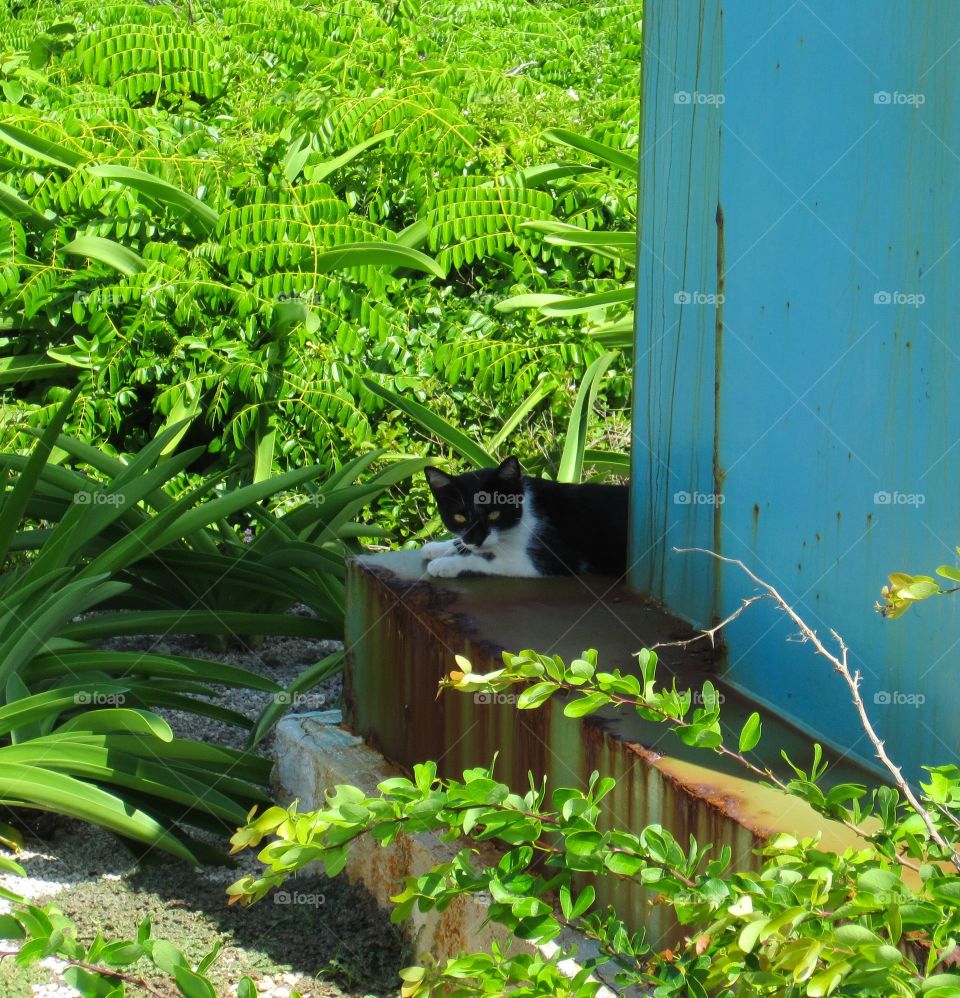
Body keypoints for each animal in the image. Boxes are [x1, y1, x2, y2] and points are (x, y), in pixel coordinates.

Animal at [424, 456, 628, 580]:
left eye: (494, 514)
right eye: (459, 517)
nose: (476, 540)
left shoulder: (553, 559)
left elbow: (488, 559)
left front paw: (446, 564)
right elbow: (466, 544)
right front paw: (437, 548)